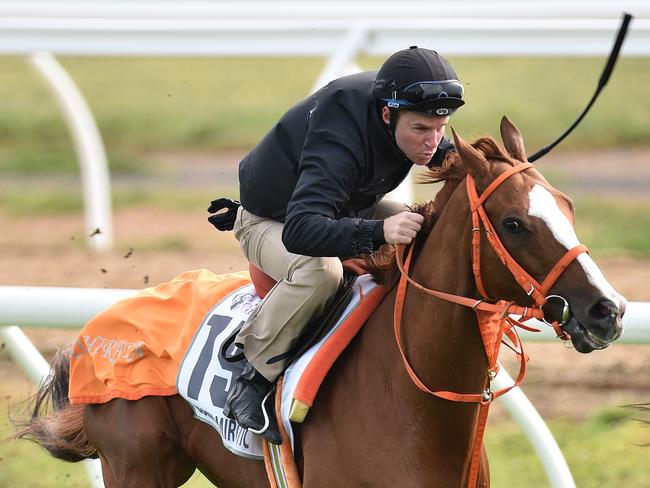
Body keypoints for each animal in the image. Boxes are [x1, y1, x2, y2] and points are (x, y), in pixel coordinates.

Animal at [15, 116, 624, 486]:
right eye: (514, 223)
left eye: (568, 206)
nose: (609, 310)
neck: (407, 400)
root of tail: (94, 330)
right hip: (138, 467)